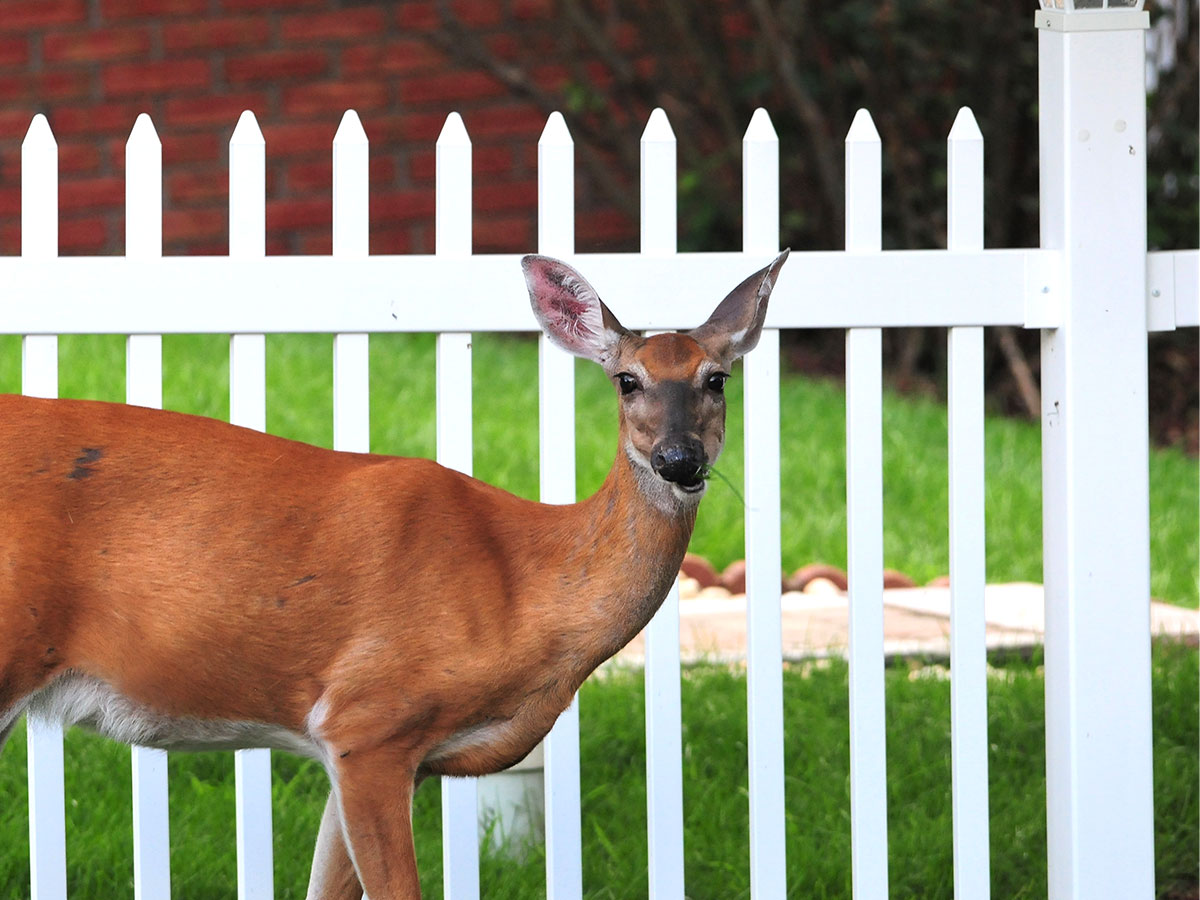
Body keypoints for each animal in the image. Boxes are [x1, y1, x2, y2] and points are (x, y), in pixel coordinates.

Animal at [2, 250, 787, 897]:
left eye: (717, 379)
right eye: (627, 381)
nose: (680, 461)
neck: (524, 585)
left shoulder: (369, 751)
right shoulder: (369, 718)